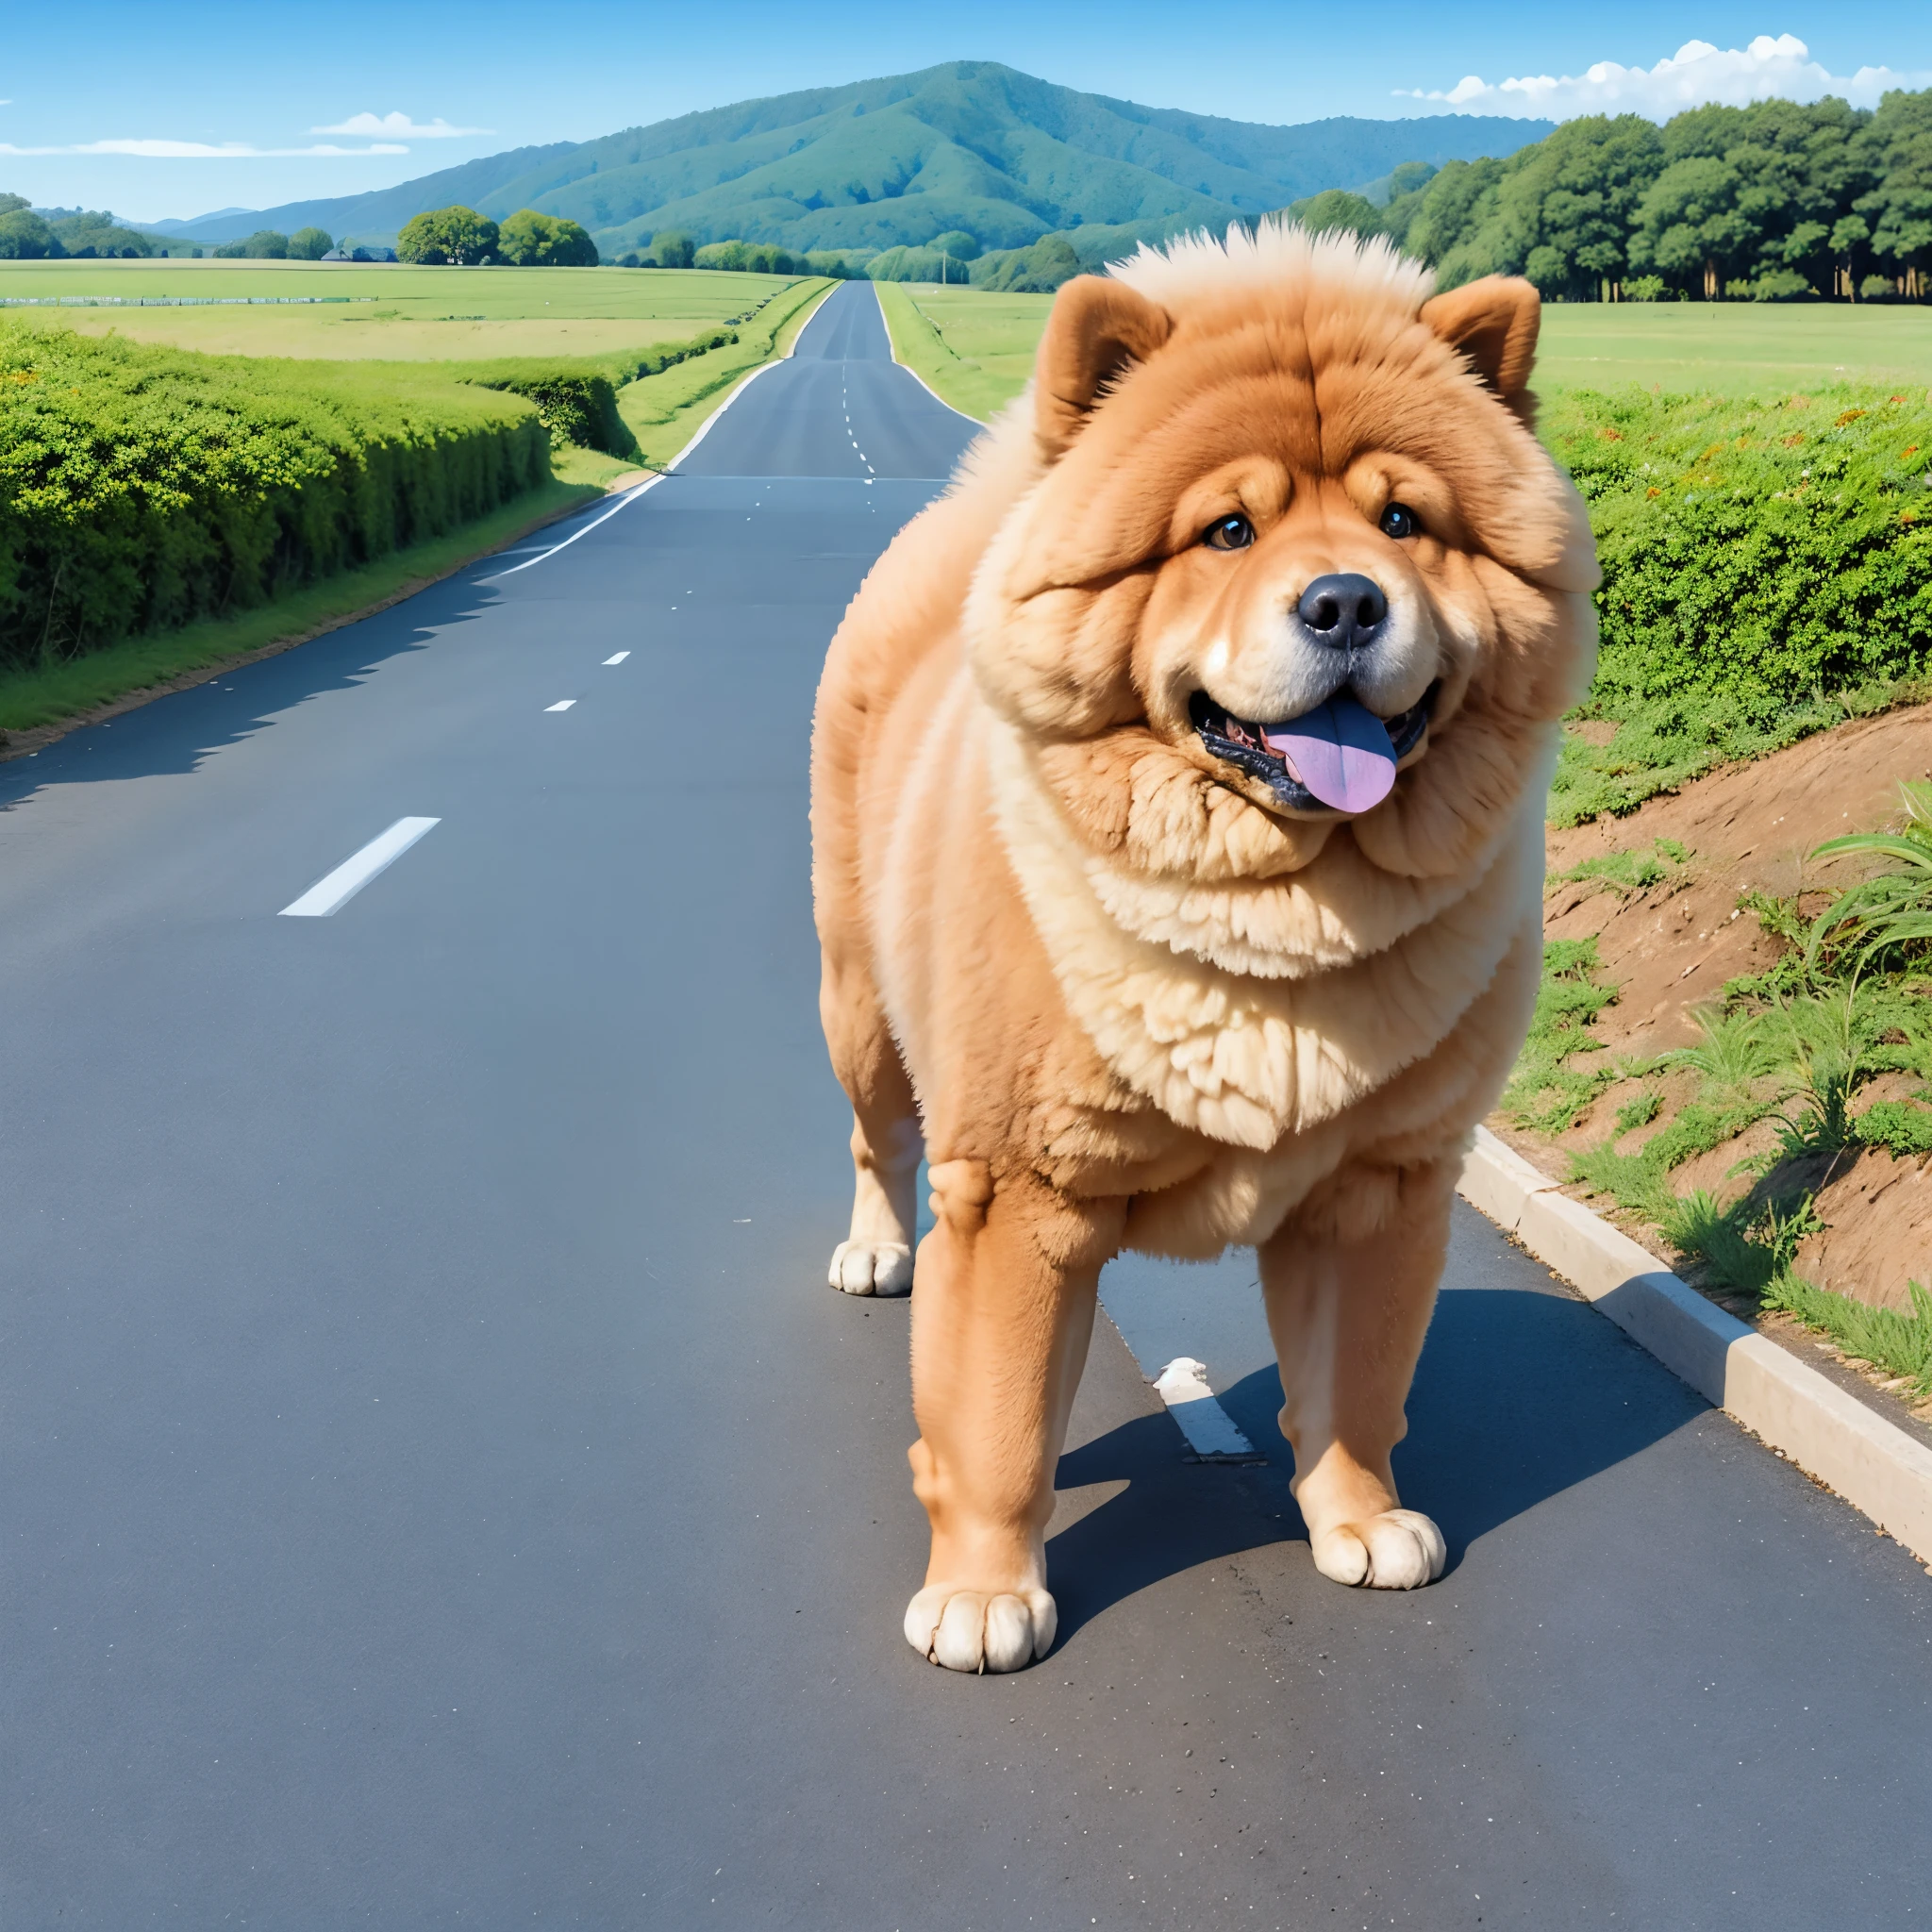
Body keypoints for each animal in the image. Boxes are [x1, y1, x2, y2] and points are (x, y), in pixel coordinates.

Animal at [808, 222, 1591, 1676]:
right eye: (1227, 530)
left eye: (1404, 522)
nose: (1344, 602)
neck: (1283, 905)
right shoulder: (1018, 1192)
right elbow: (998, 1423)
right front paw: (984, 1596)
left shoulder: (1385, 1184)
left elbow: (1354, 1386)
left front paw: (1361, 1522)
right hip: (861, 1002)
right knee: (877, 1137)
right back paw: (875, 1249)